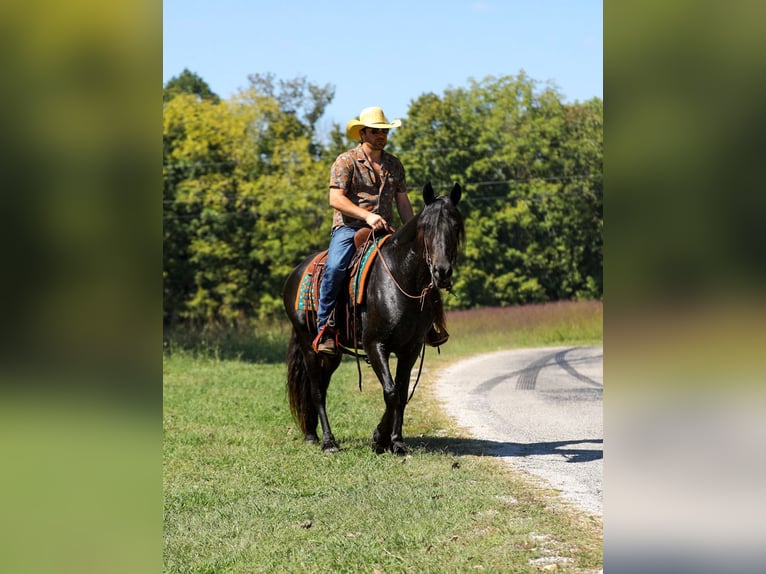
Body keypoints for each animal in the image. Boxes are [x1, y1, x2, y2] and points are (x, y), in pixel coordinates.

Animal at [282, 182, 464, 454]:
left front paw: (396, 442)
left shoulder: (410, 348)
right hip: (308, 345)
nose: (441, 272)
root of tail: (296, 273)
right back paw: (328, 442)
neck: (400, 277)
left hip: (332, 353)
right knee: (316, 391)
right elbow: (390, 392)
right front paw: (379, 438)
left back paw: (311, 434)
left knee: (321, 386)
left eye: (454, 226)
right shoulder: (375, 344)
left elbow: (401, 392)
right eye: (426, 227)